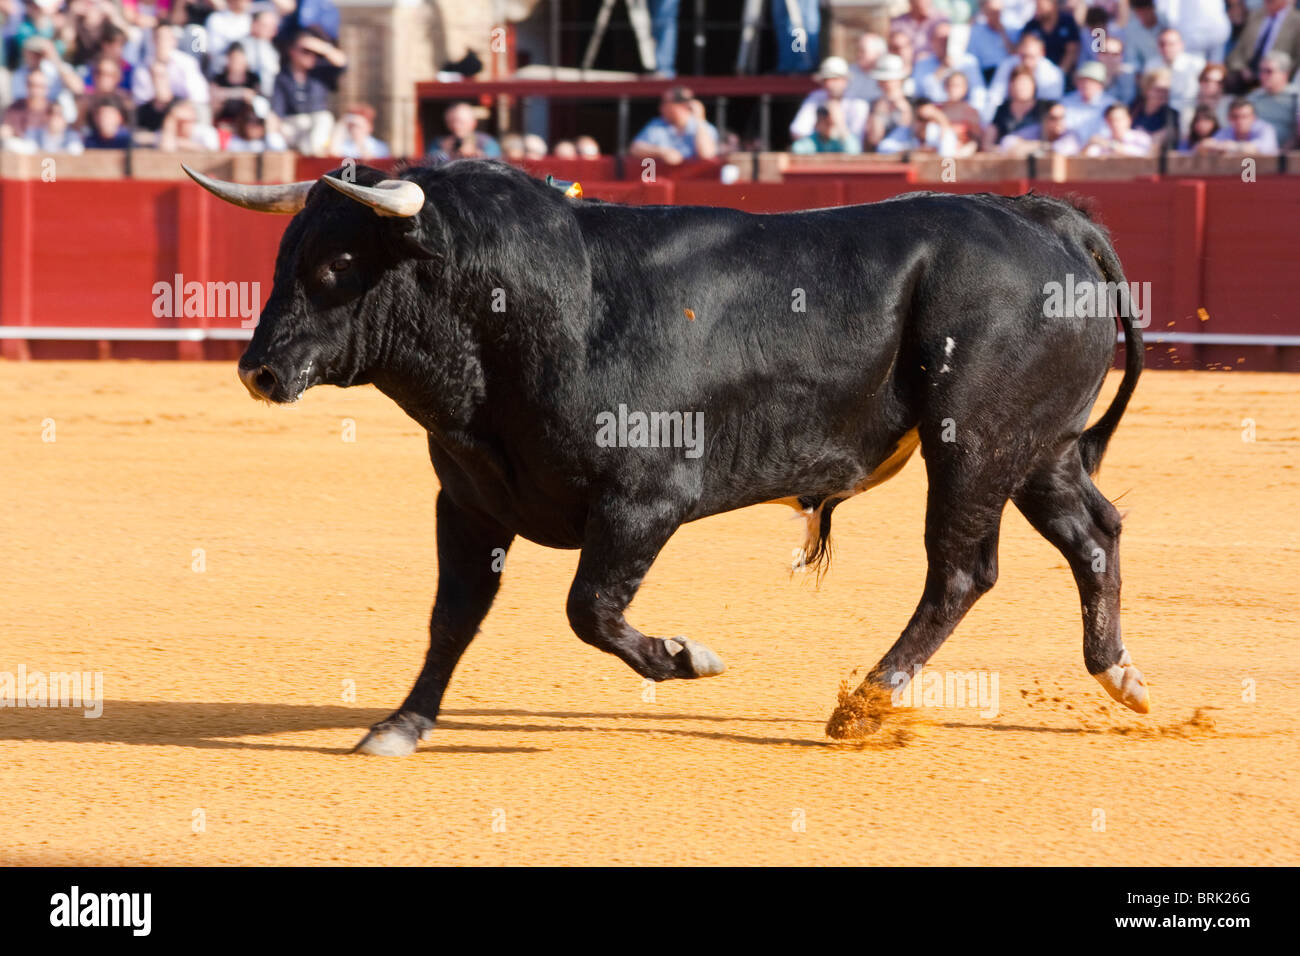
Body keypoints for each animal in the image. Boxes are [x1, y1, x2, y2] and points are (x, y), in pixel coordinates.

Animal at [185, 160, 1149, 759]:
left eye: (337, 262)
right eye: (286, 254)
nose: (257, 370)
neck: (532, 312)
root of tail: (1040, 216)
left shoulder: (643, 500)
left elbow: (589, 609)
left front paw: (687, 658)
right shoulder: (468, 503)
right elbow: (451, 618)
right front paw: (400, 724)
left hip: (974, 446)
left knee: (960, 570)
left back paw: (863, 704)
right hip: (1040, 449)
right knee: (1092, 533)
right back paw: (1121, 677)